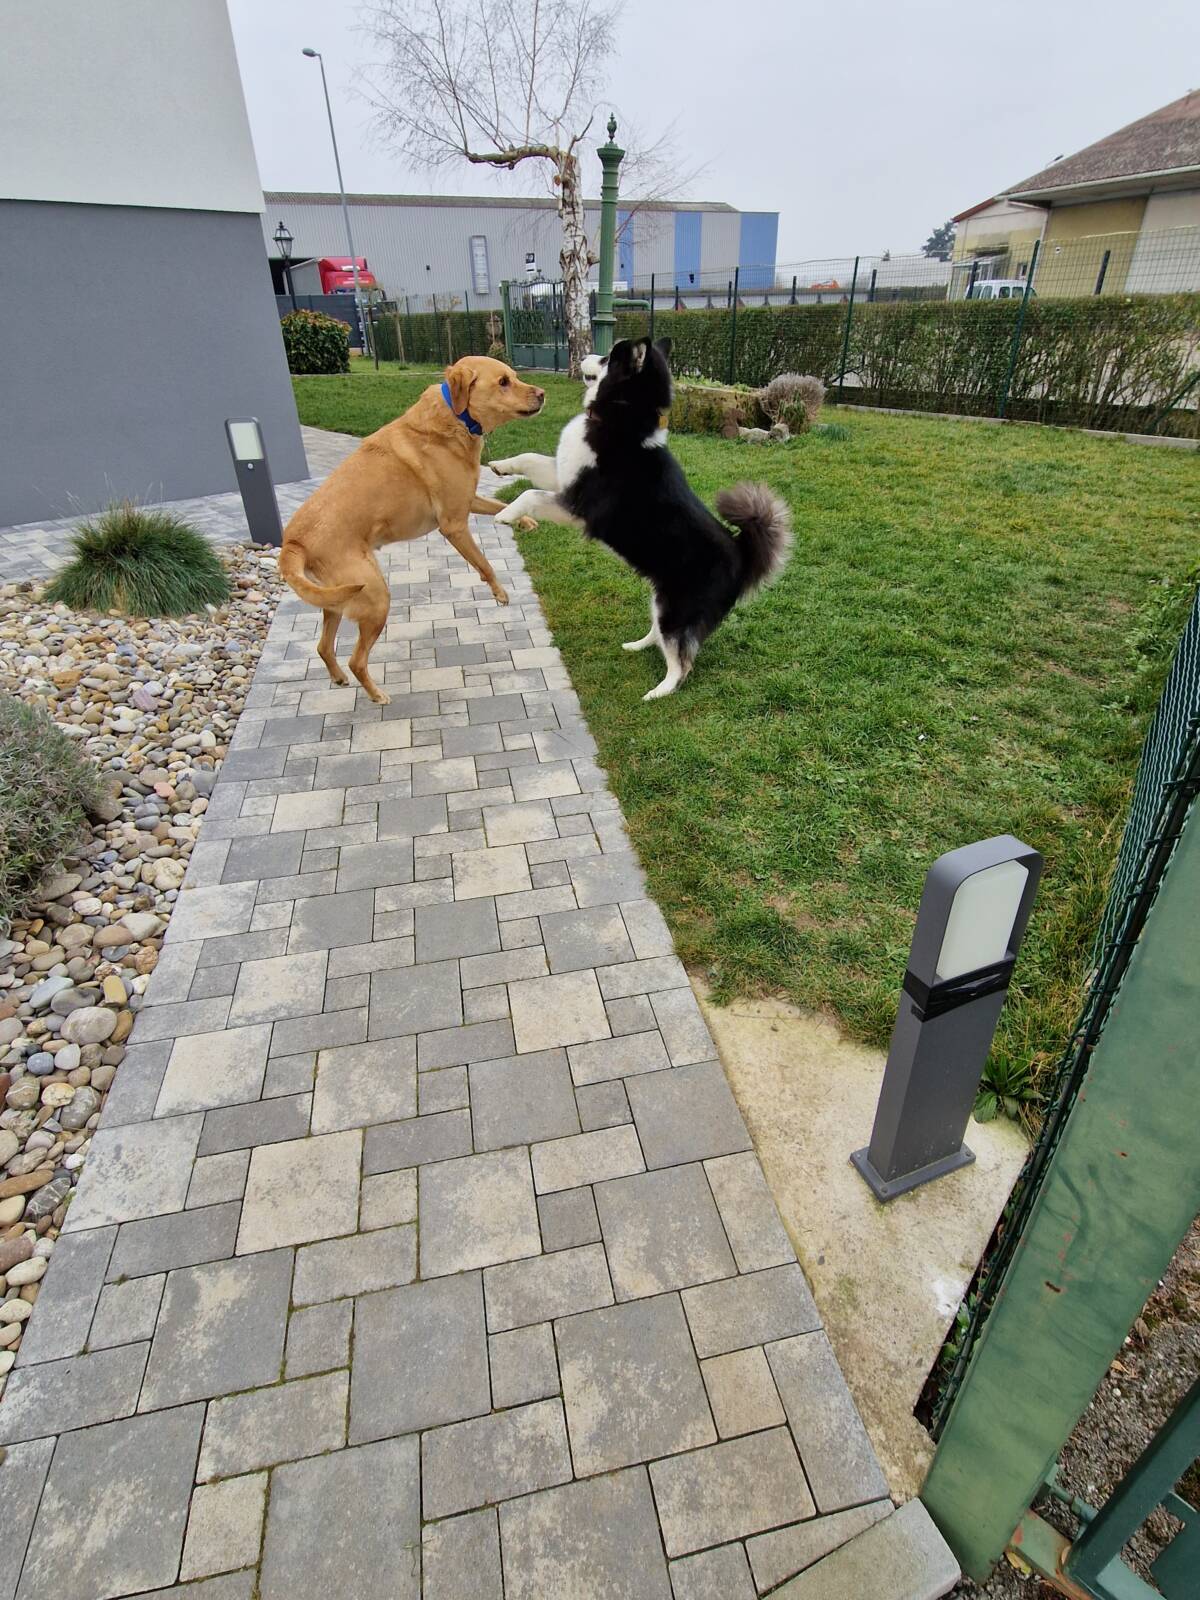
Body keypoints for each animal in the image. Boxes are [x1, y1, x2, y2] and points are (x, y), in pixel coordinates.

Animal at [280, 360, 547, 704]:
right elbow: (485, 564)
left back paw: (339, 678)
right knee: (356, 659)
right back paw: (377, 695)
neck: (455, 418)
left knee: (324, 647)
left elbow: (500, 504)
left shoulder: (468, 500)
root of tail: (293, 541)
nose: (542, 393)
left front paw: (524, 520)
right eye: (503, 382)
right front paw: (499, 592)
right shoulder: (454, 524)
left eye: (514, 376)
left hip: (335, 600)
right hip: (374, 596)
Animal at [528, 340, 793, 697]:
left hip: (675, 611)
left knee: (682, 663)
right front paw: (497, 466)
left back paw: (659, 691)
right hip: (661, 600)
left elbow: (530, 496)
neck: (622, 418)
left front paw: (504, 514)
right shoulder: (564, 479)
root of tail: (742, 552)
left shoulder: (579, 507)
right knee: (662, 637)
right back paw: (639, 645)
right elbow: (528, 459)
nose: (581, 356)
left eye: (607, 358)